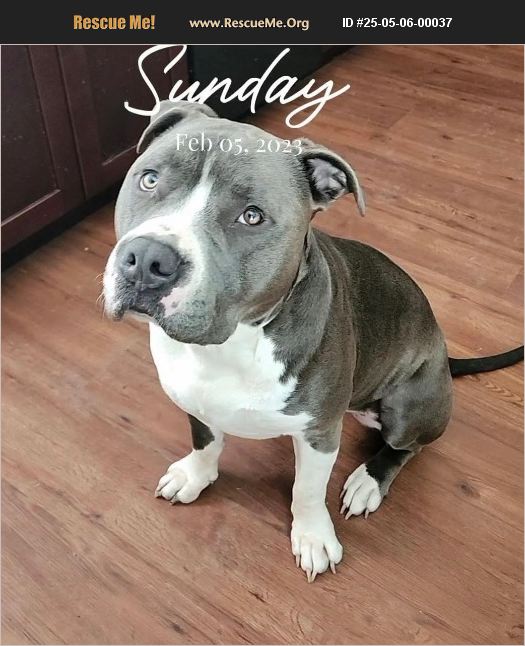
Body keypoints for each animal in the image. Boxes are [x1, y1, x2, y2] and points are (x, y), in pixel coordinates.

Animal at [103, 101, 523, 582]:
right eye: (149, 179)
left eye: (252, 215)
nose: (147, 260)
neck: (231, 345)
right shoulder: (194, 400)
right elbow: (204, 440)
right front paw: (194, 474)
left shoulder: (320, 433)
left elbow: (306, 490)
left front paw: (312, 536)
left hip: (411, 406)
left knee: (407, 447)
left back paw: (367, 481)